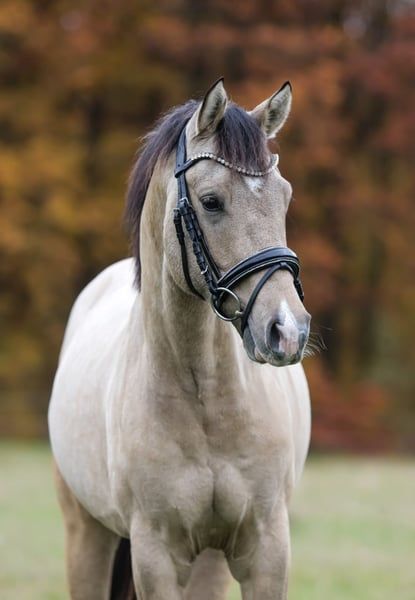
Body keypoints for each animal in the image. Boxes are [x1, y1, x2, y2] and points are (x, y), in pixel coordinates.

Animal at [48, 78, 311, 600]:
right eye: (211, 201)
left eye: (285, 196)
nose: (288, 331)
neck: (205, 398)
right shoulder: (157, 556)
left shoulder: (267, 551)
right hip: (86, 535)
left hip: (209, 559)